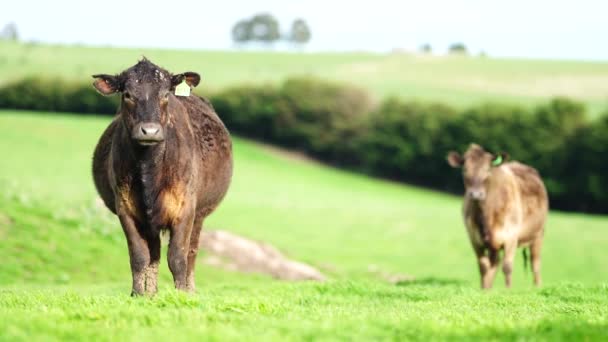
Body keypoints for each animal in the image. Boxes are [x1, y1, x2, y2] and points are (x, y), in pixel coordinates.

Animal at [92, 57, 233, 296]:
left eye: (166, 94)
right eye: (127, 94)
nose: (149, 131)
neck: (149, 170)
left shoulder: (185, 209)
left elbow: (178, 257)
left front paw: (182, 295)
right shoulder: (126, 208)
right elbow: (139, 257)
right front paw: (138, 295)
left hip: (200, 214)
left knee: (192, 252)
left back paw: (190, 289)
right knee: (154, 255)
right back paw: (151, 292)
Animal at [446, 144, 552, 288]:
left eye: (488, 170)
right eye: (465, 170)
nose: (476, 194)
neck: (487, 215)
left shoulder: (511, 236)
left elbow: (507, 267)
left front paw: (508, 290)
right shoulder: (475, 239)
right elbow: (483, 266)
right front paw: (484, 289)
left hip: (538, 233)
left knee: (535, 263)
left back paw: (537, 286)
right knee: (494, 263)